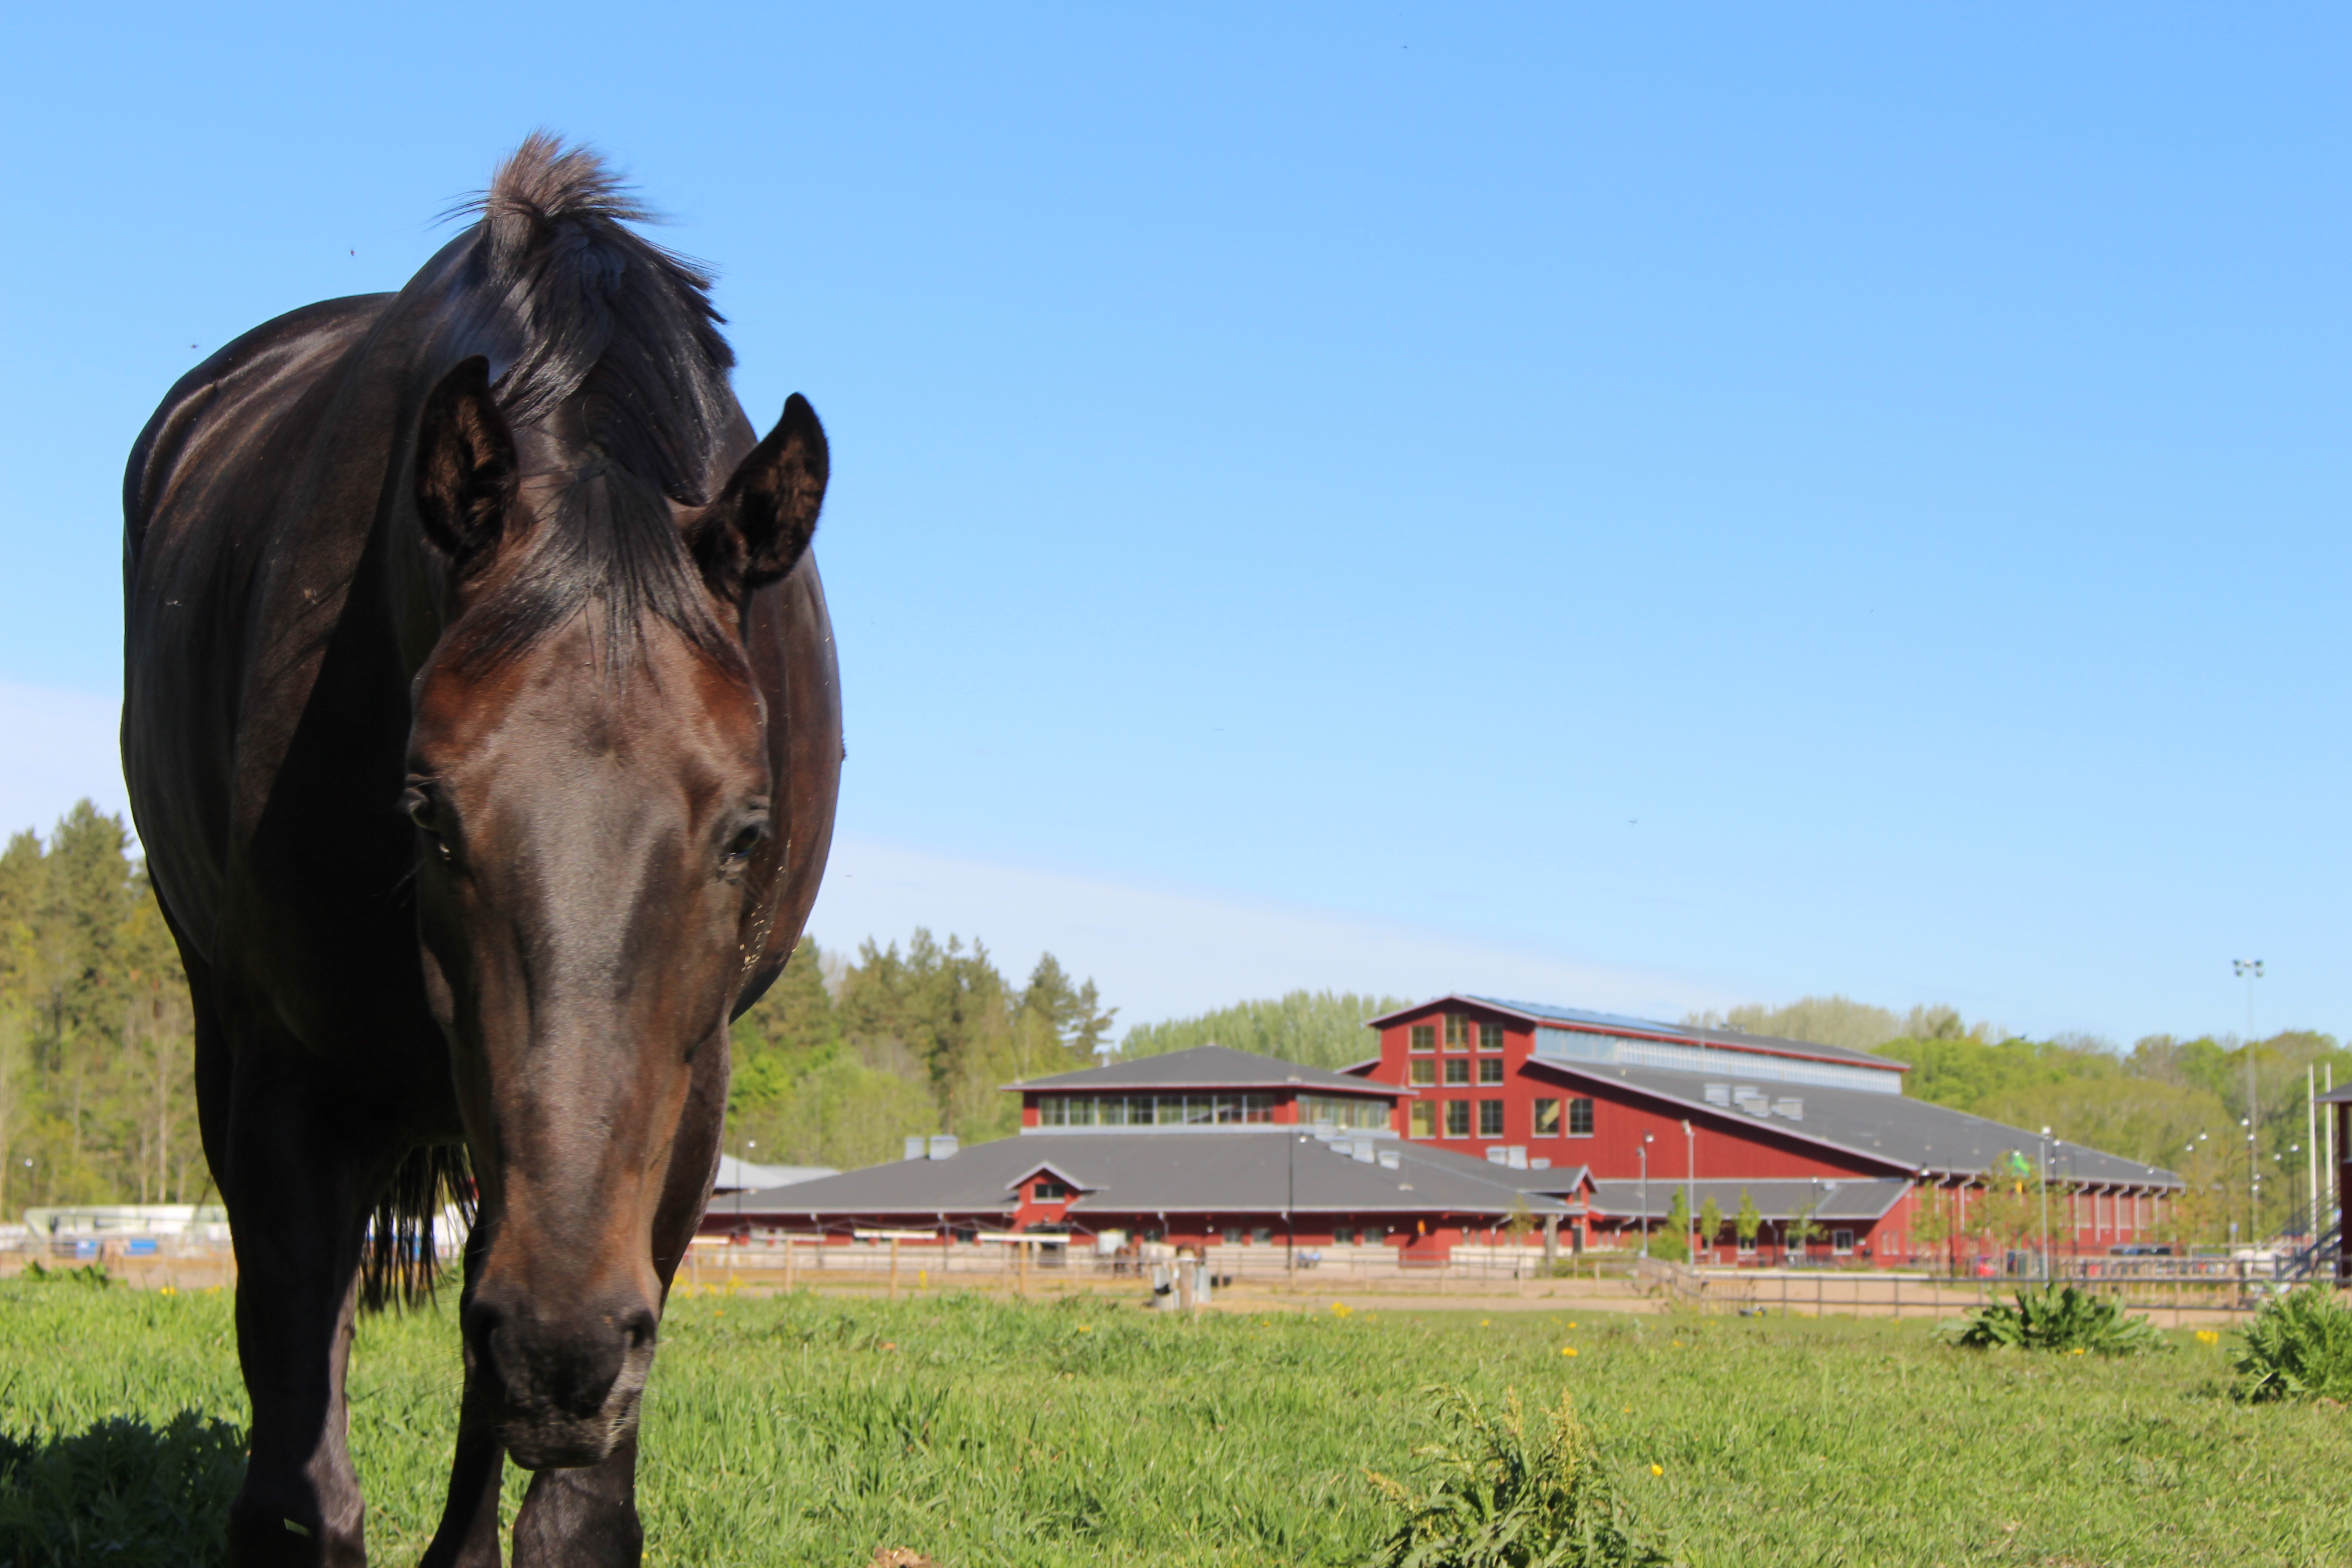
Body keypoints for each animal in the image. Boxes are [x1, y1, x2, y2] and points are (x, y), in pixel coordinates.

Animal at [124, 138, 847, 1568]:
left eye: (747, 828)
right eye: (425, 813)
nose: (566, 1357)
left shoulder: (682, 1103)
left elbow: (572, 1517)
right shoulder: (290, 1083)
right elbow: (300, 1492)